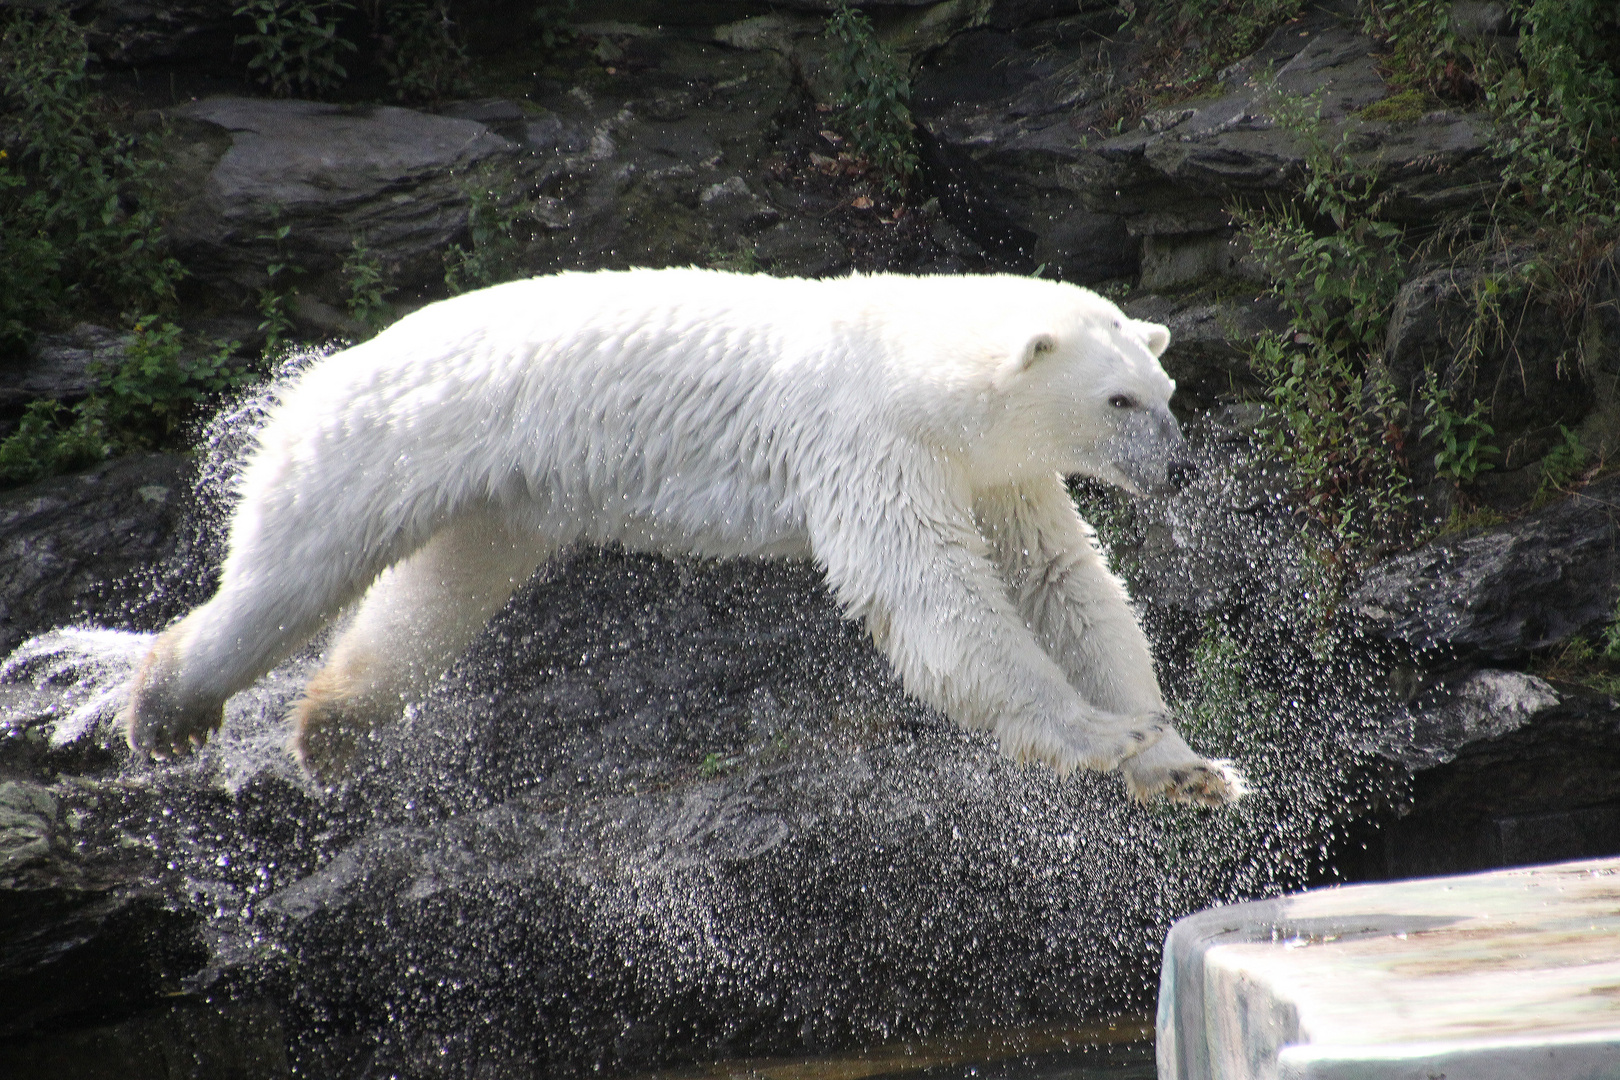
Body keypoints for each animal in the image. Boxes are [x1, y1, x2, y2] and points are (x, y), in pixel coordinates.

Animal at [119, 270, 1244, 806]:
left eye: (1165, 389)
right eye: (1117, 399)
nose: (1183, 471)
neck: (908, 361)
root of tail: (332, 363)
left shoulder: (995, 469)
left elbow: (1065, 581)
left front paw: (1183, 763)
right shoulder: (866, 439)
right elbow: (933, 596)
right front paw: (1098, 735)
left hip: (498, 497)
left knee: (436, 592)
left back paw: (331, 726)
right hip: (383, 441)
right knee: (293, 567)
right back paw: (167, 707)